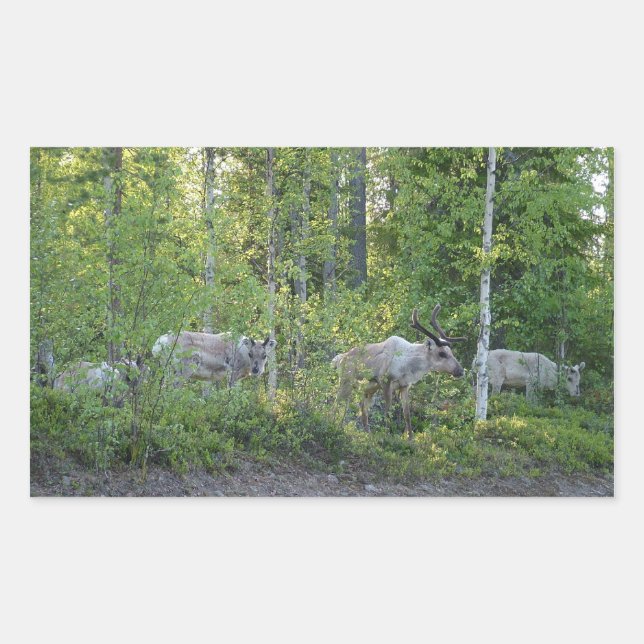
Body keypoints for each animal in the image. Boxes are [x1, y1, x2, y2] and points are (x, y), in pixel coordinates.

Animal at [333, 305, 466, 439]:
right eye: (441, 353)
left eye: (450, 351)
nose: (460, 371)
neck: (407, 365)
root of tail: (339, 359)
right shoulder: (385, 381)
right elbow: (388, 411)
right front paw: (386, 434)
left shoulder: (404, 386)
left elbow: (406, 414)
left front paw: (410, 438)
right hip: (346, 382)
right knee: (337, 403)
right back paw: (334, 424)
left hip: (368, 389)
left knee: (362, 409)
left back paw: (366, 434)